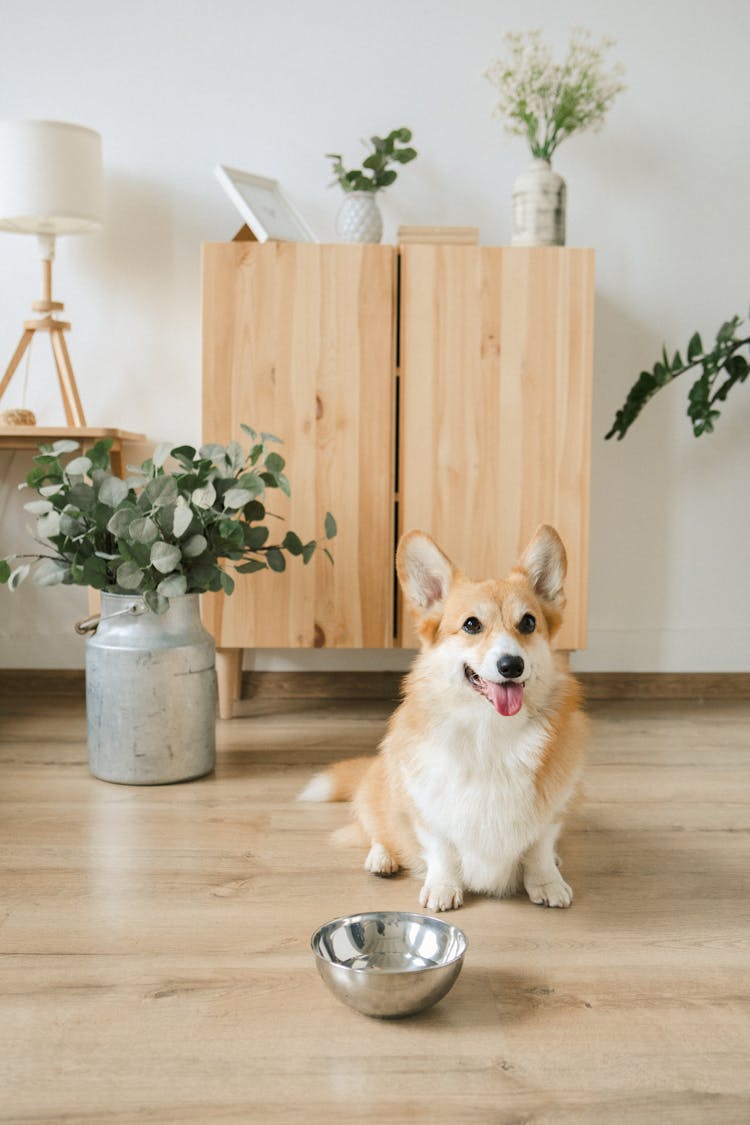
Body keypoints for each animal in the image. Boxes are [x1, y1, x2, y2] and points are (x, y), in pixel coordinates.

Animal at [299, 522, 584, 909]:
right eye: (471, 625)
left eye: (528, 623)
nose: (511, 665)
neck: (490, 731)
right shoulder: (427, 809)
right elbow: (441, 849)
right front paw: (443, 887)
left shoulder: (552, 809)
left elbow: (539, 846)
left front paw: (547, 882)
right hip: (383, 788)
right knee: (375, 829)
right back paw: (382, 858)